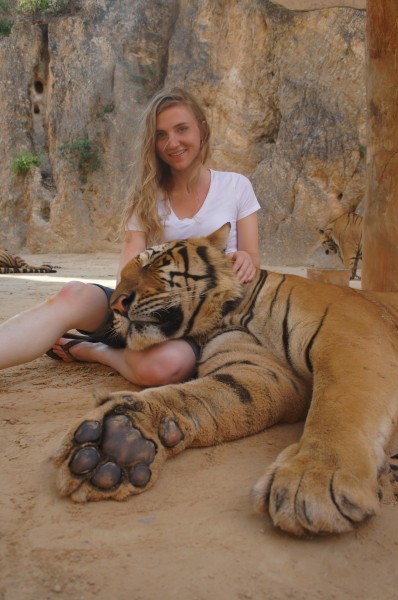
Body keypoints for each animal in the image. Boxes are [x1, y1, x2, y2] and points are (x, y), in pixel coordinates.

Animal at [54, 225, 398, 540]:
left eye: (155, 261)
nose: (115, 304)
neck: (232, 311)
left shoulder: (348, 331)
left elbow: (339, 404)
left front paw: (312, 479)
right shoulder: (257, 368)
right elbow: (204, 395)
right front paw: (120, 440)